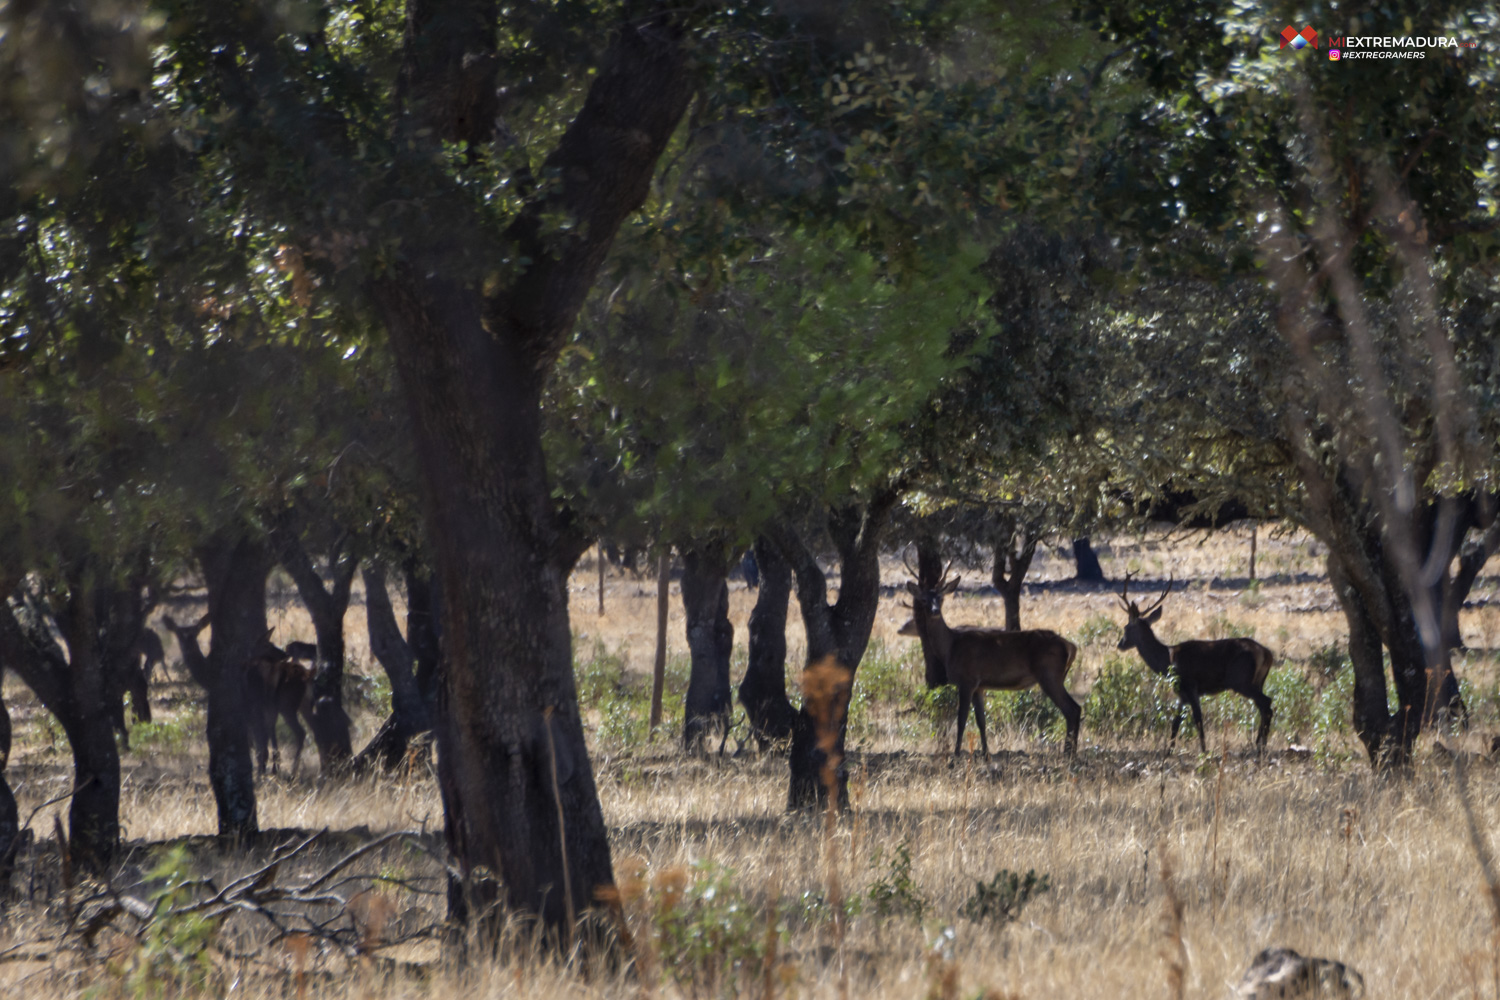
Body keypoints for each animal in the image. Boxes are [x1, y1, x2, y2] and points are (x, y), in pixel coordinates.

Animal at [894, 566, 1086, 755]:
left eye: (940, 598)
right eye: (924, 600)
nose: (934, 611)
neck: (950, 648)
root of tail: (1070, 646)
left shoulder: (967, 680)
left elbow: (961, 720)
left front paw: (955, 757)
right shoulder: (979, 686)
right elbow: (981, 721)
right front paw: (985, 754)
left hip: (1049, 675)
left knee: (1072, 709)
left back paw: (1069, 753)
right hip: (1055, 677)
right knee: (1074, 710)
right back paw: (1070, 752)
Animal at [1122, 575, 1272, 755]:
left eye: (1126, 627)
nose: (1120, 644)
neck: (1167, 661)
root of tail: (1266, 653)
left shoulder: (1190, 686)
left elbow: (1198, 718)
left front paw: (1204, 750)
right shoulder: (1182, 694)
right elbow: (1175, 723)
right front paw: (1169, 750)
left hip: (1240, 680)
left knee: (1267, 703)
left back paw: (1261, 744)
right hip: (1258, 681)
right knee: (1263, 706)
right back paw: (1259, 743)